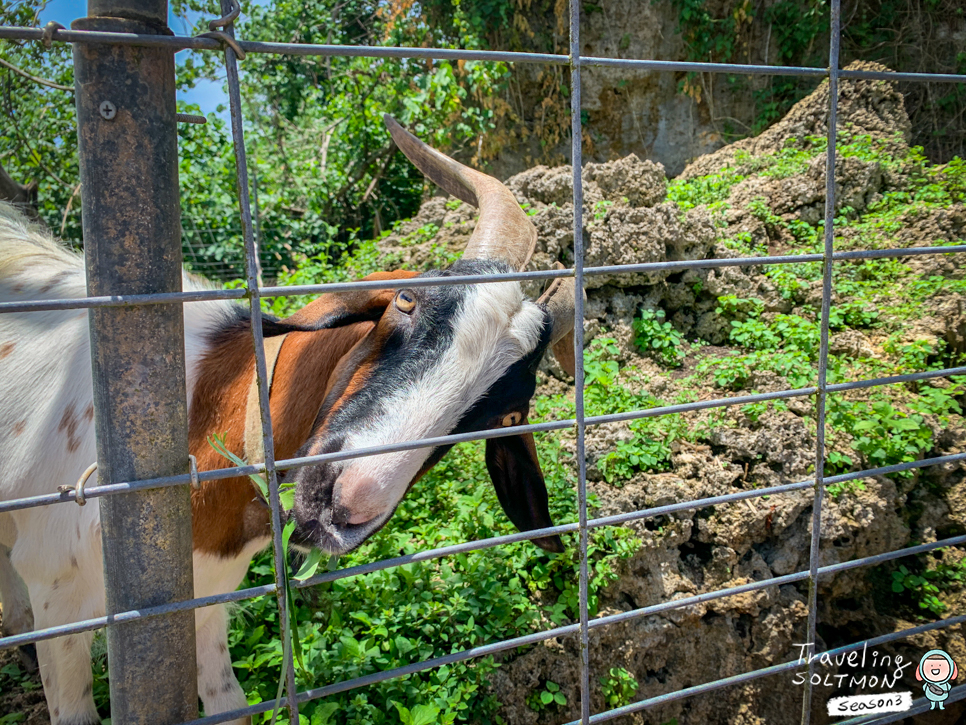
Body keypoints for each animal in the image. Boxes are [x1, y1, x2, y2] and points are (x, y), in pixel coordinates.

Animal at [0, 119, 576, 724]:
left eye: (506, 413)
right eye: (406, 300)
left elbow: (230, 703)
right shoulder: (57, 595)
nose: (341, 503)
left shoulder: (207, 597)